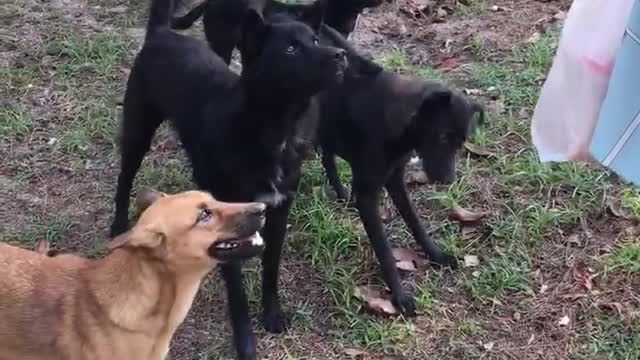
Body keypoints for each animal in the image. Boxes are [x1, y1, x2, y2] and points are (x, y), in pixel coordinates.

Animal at [112, 0, 348, 358]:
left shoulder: (279, 212)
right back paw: (117, 224)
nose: (340, 54)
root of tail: (162, 34)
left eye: (316, 40)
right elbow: (237, 295)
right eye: (291, 49)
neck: (272, 130)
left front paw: (272, 314)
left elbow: (271, 269)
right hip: (138, 132)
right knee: (124, 179)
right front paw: (246, 344)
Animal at [318, 26, 482, 316]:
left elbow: (415, 222)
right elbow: (384, 251)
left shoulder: (395, 179)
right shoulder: (368, 196)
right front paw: (399, 295)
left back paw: (341, 193)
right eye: (442, 136)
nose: (448, 180)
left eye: (462, 142)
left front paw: (436, 254)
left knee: (327, 156)